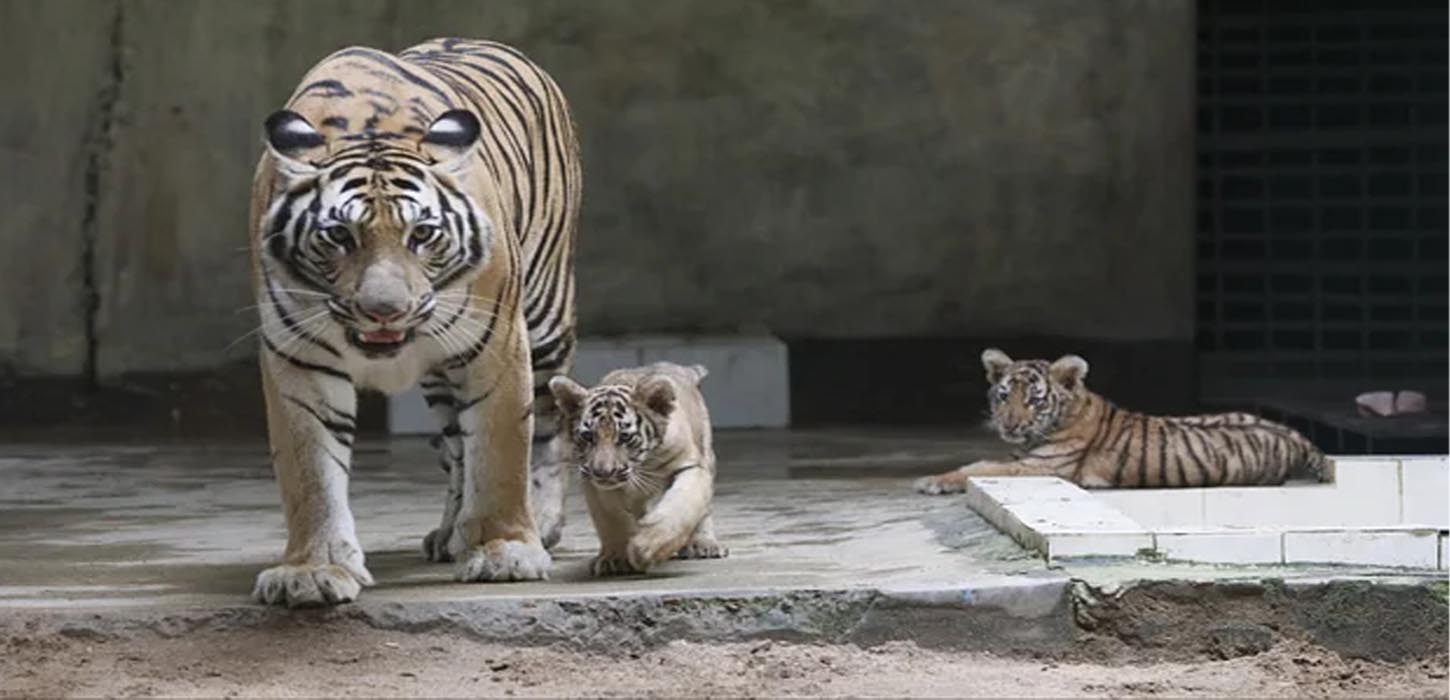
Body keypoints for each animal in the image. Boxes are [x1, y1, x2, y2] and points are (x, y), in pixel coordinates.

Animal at [250, 38, 582, 608]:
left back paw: (541, 522)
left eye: (422, 234)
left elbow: (500, 449)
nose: (386, 309)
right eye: (338, 236)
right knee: (456, 450)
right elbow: (310, 471)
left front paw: (504, 552)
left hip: (545, 317)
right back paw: (450, 533)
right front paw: (313, 570)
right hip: (439, 377)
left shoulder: (497, 342)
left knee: (548, 423)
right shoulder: (299, 355)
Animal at [910, 349, 1328, 492]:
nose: (1010, 425)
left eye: (1034, 399)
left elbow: (979, 467)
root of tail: (1295, 436)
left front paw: (931, 481)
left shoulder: (1042, 468)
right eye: (1003, 395)